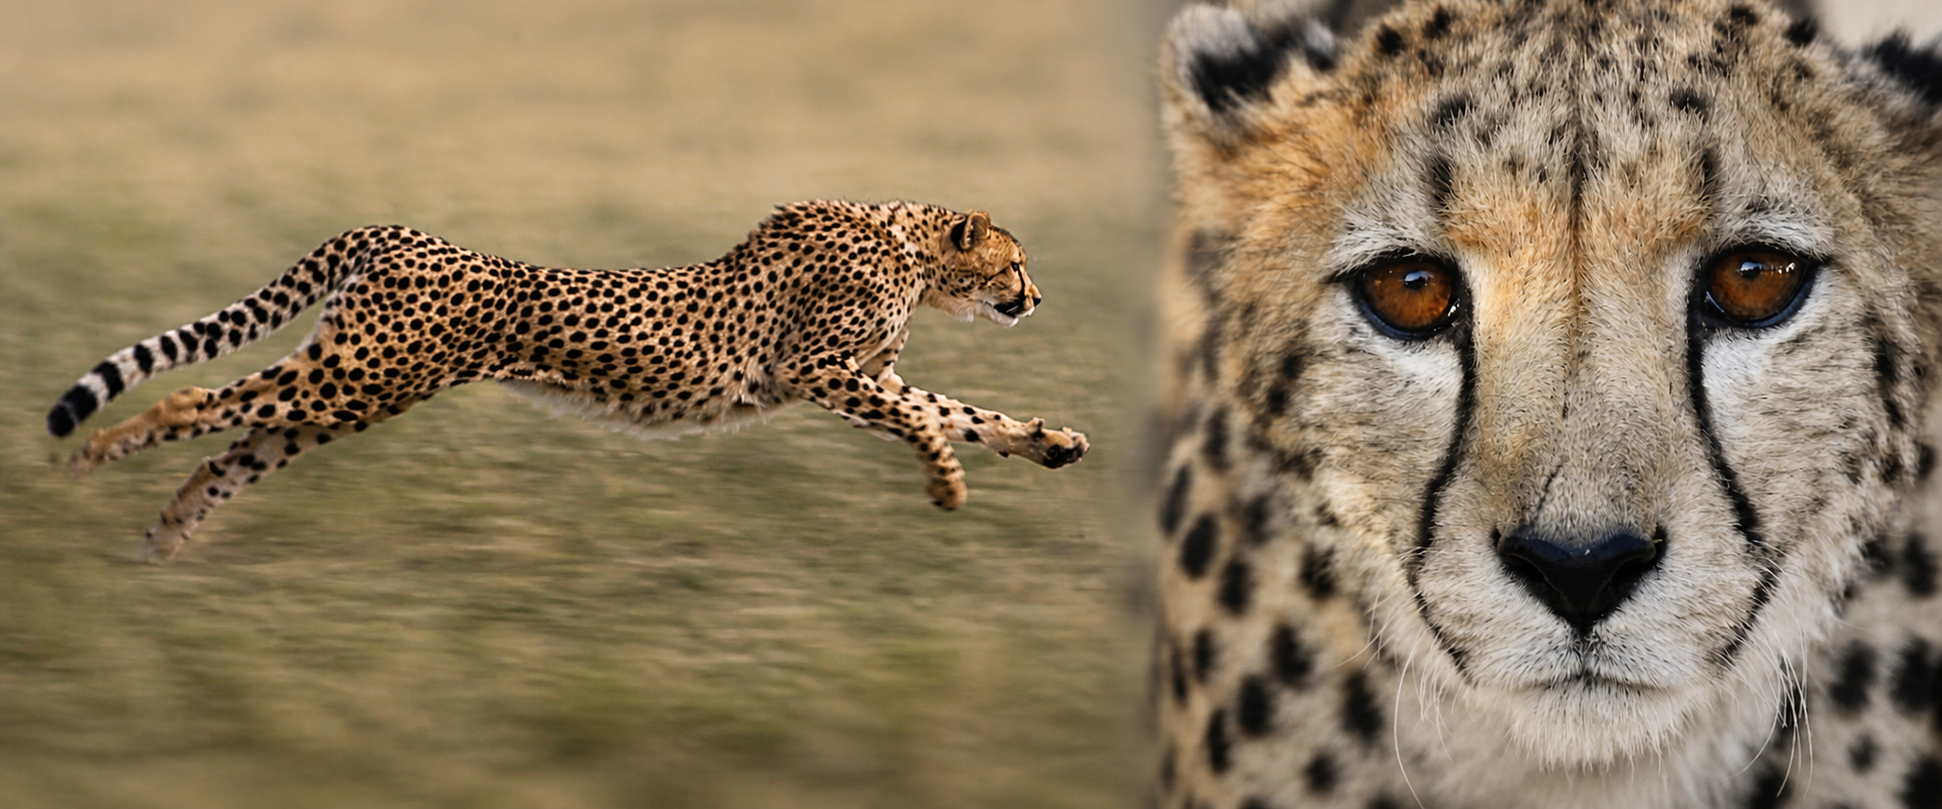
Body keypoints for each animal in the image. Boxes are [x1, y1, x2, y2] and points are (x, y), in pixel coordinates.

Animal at [44, 200, 1088, 562]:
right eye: (1014, 263)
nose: (1038, 297)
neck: (912, 247)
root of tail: (399, 230)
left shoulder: (853, 374)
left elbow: (956, 409)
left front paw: (1050, 442)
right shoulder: (813, 368)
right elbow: (927, 421)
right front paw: (946, 483)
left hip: (346, 397)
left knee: (229, 454)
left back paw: (162, 545)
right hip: (355, 377)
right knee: (192, 400)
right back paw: (94, 456)